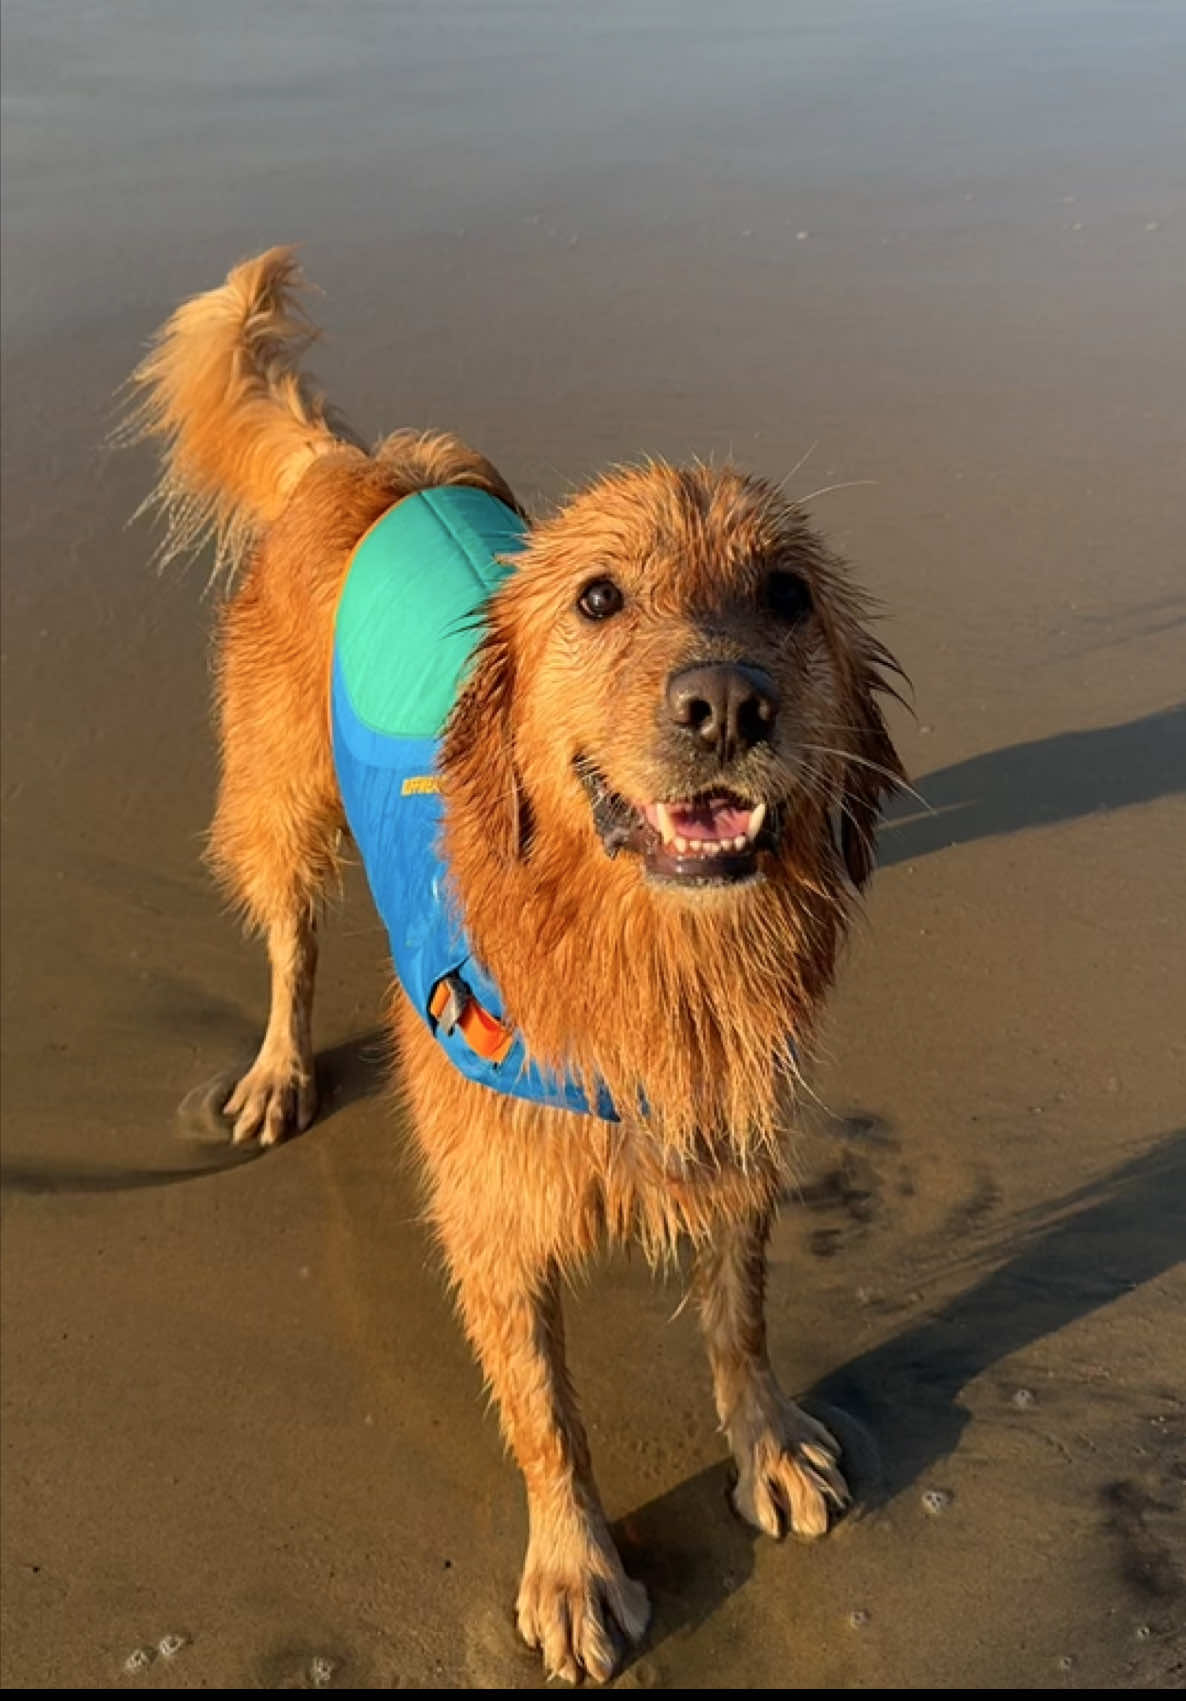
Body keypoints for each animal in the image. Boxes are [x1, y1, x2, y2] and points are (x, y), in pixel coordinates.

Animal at [127, 246, 898, 1680]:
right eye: (596, 596)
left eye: (787, 591)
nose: (724, 703)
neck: (641, 957)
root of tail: (358, 466)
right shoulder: (492, 1208)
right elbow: (546, 1410)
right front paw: (575, 1565)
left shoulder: (729, 1127)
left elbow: (740, 1317)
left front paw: (767, 1444)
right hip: (282, 793)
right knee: (287, 933)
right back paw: (273, 1070)